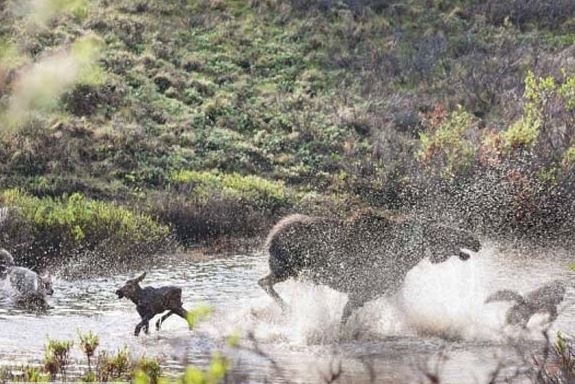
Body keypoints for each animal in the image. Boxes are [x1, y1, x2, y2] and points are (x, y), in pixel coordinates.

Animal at [260, 212, 482, 322]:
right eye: (443, 231)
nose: (475, 240)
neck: (408, 257)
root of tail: (270, 238)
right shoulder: (362, 291)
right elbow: (344, 319)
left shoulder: (385, 290)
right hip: (287, 268)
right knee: (263, 282)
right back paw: (287, 308)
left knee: (263, 281)